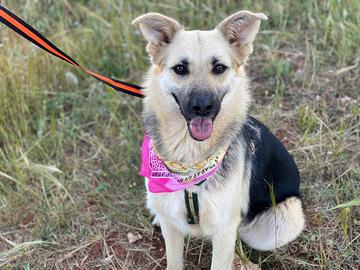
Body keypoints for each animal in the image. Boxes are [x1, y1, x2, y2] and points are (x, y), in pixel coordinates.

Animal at [132, 10, 304, 270]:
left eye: (219, 68)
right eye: (180, 68)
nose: (203, 107)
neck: (190, 164)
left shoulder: (224, 232)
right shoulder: (172, 226)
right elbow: (174, 259)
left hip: (286, 218)